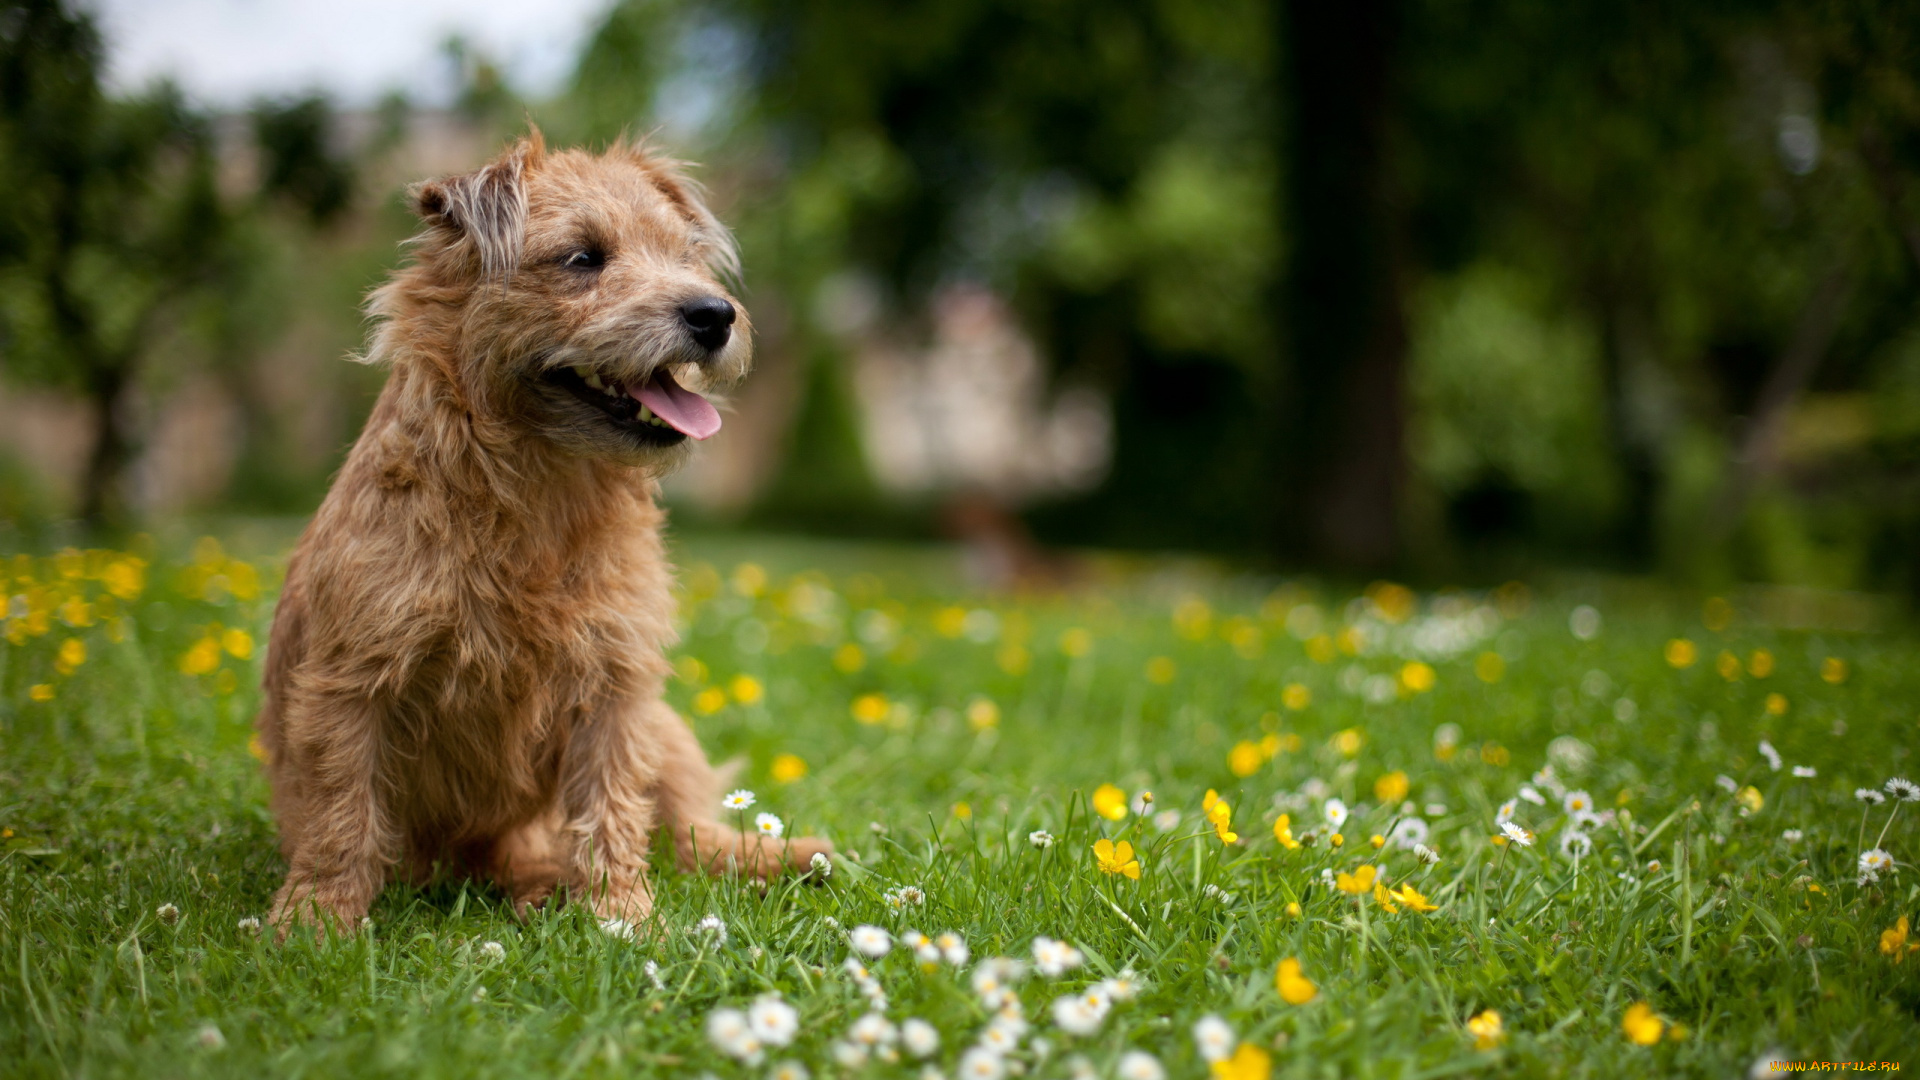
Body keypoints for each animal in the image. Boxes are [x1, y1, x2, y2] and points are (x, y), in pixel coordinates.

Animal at [255, 130, 825, 933]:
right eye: (582, 258)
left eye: (685, 255)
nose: (714, 314)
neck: (538, 499)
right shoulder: (351, 684)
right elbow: (342, 811)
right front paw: (315, 918)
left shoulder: (615, 687)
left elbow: (612, 809)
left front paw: (623, 913)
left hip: (666, 729)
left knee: (690, 832)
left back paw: (789, 856)